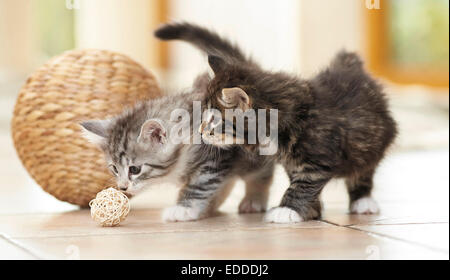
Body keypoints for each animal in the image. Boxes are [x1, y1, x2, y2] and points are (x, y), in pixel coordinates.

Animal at [81, 73, 274, 222]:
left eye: (134, 169)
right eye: (114, 168)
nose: (122, 188)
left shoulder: (215, 158)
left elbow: (200, 184)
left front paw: (184, 208)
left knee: (261, 172)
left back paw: (254, 199)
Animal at [156, 22, 398, 223]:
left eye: (213, 119)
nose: (201, 131)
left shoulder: (318, 160)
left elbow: (302, 186)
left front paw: (288, 210)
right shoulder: (291, 163)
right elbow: (298, 182)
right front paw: (311, 210)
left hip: (370, 144)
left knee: (363, 173)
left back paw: (363, 201)